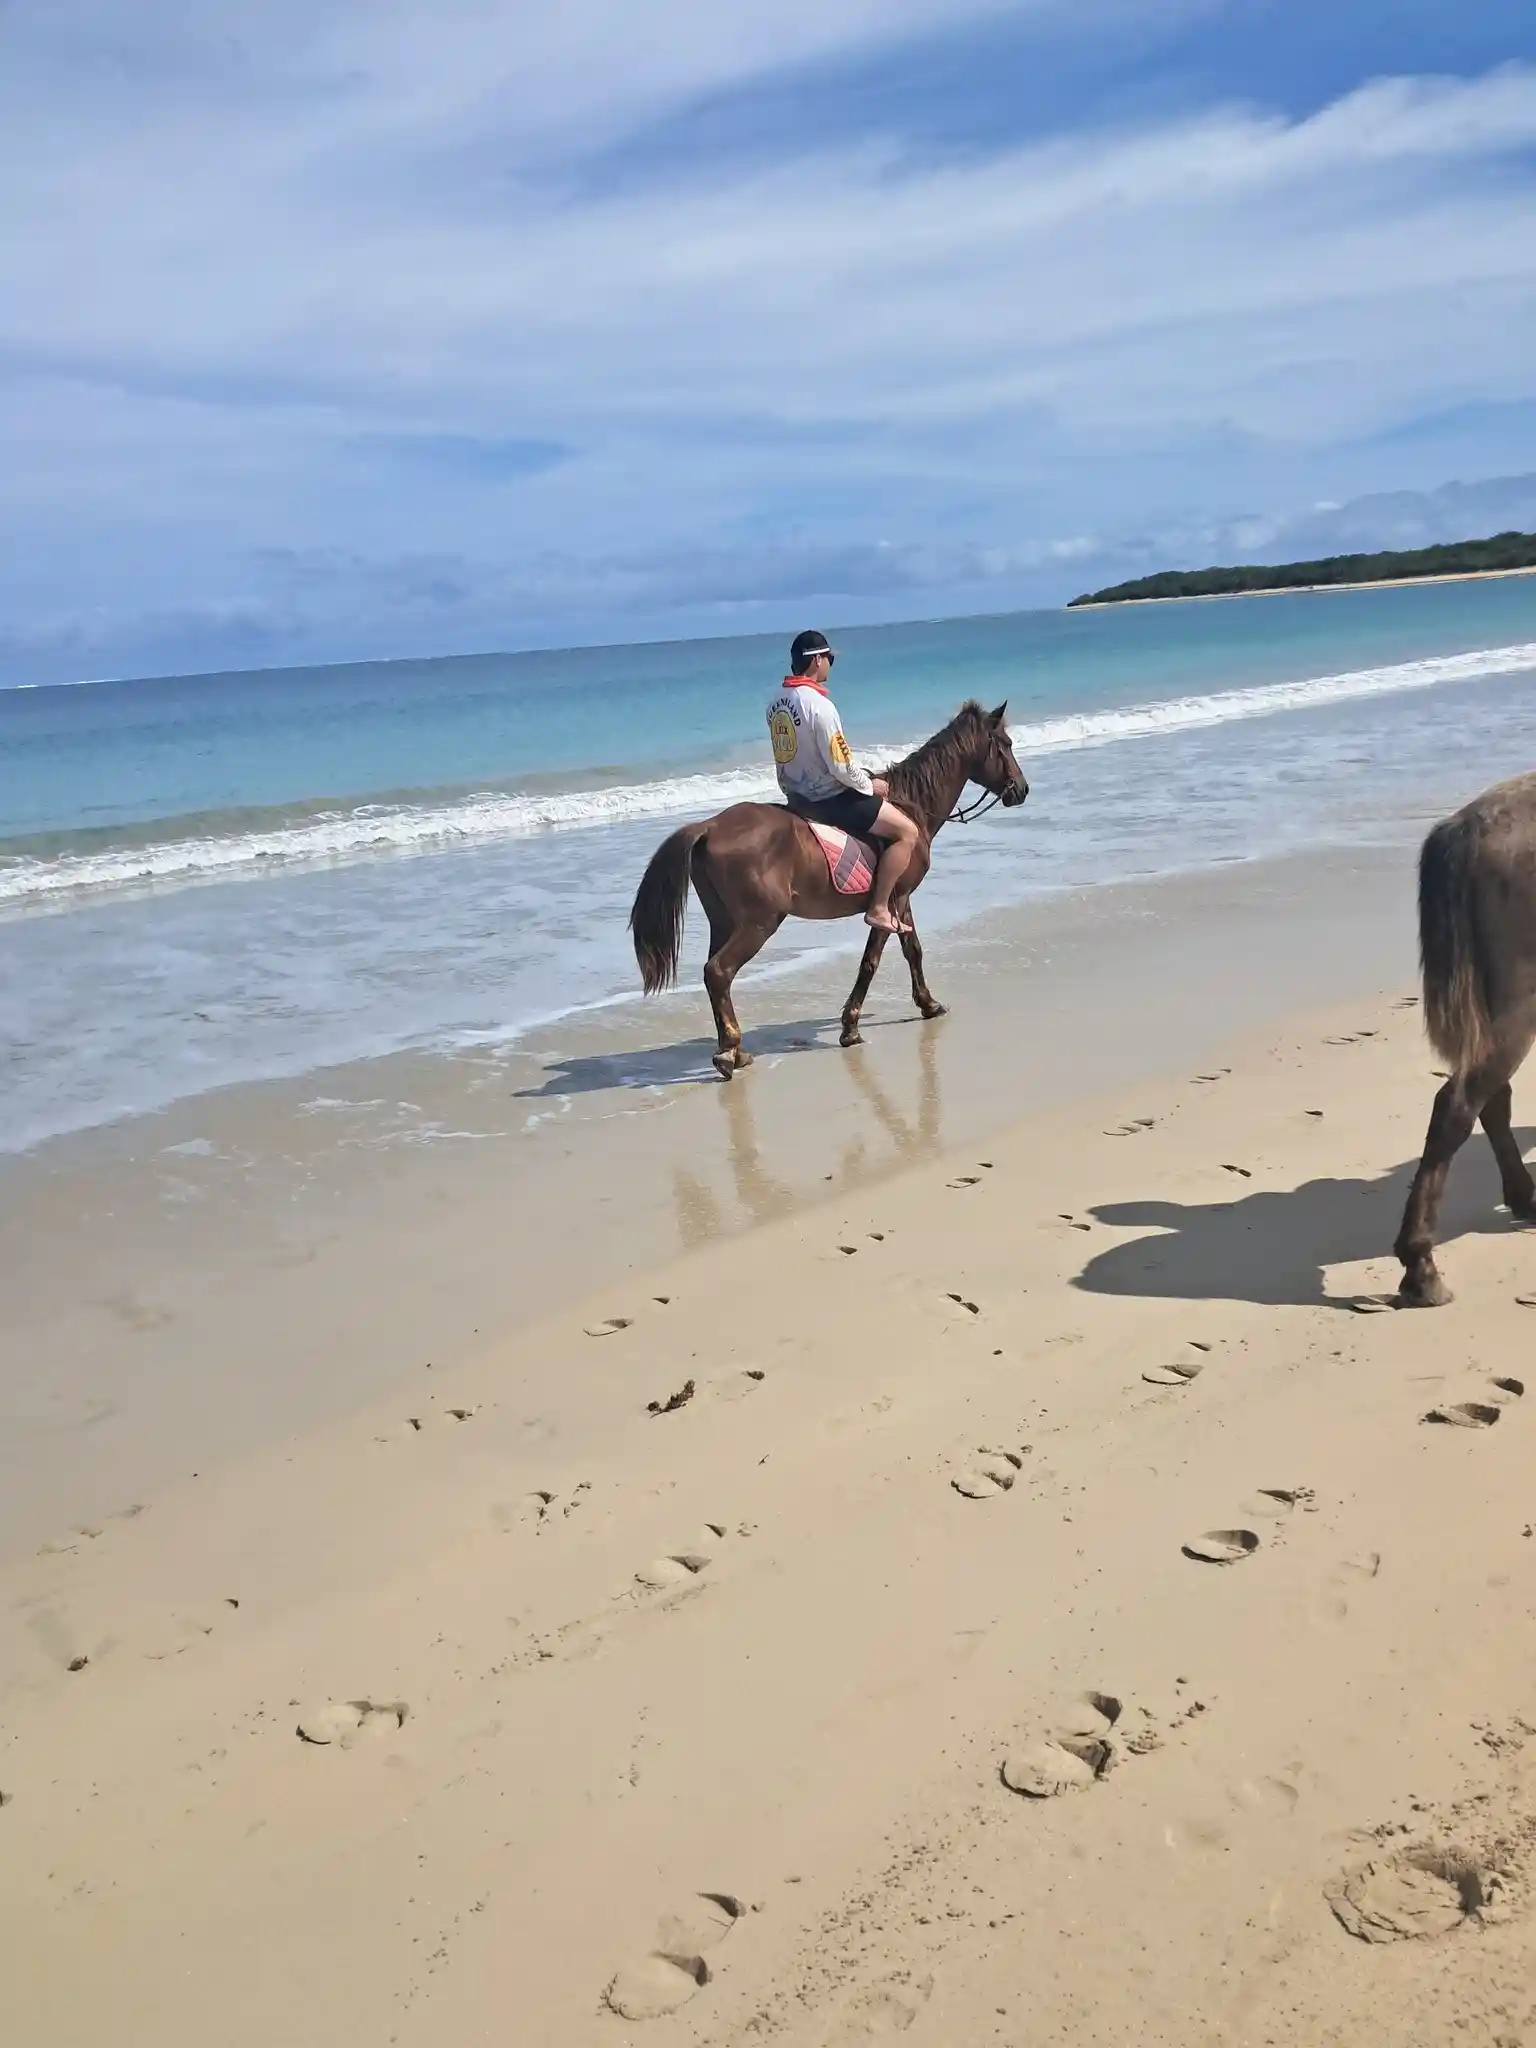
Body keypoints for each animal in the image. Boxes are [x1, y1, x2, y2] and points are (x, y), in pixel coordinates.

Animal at [628, 700, 1028, 1079]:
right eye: (1006, 744)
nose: (1022, 790)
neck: (910, 807)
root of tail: (709, 826)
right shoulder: (892, 901)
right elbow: (873, 961)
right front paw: (850, 1027)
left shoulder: (902, 899)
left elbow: (912, 950)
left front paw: (928, 1004)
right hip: (759, 923)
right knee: (719, 971)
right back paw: (729, 1051)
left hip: (724, 921)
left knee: (715, 977)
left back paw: (734, 1050)